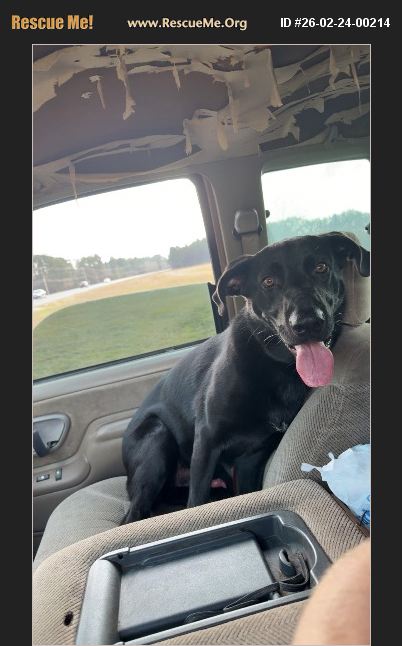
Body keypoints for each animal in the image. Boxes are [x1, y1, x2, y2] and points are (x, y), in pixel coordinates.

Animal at [121, 232, 370, 524]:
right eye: (268, 282)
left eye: (321, 268)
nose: (308, 323)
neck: (275, 366)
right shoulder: (206, 441)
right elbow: (197, 502)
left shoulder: (252, 458)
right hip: (157, 436)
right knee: (134, 513)